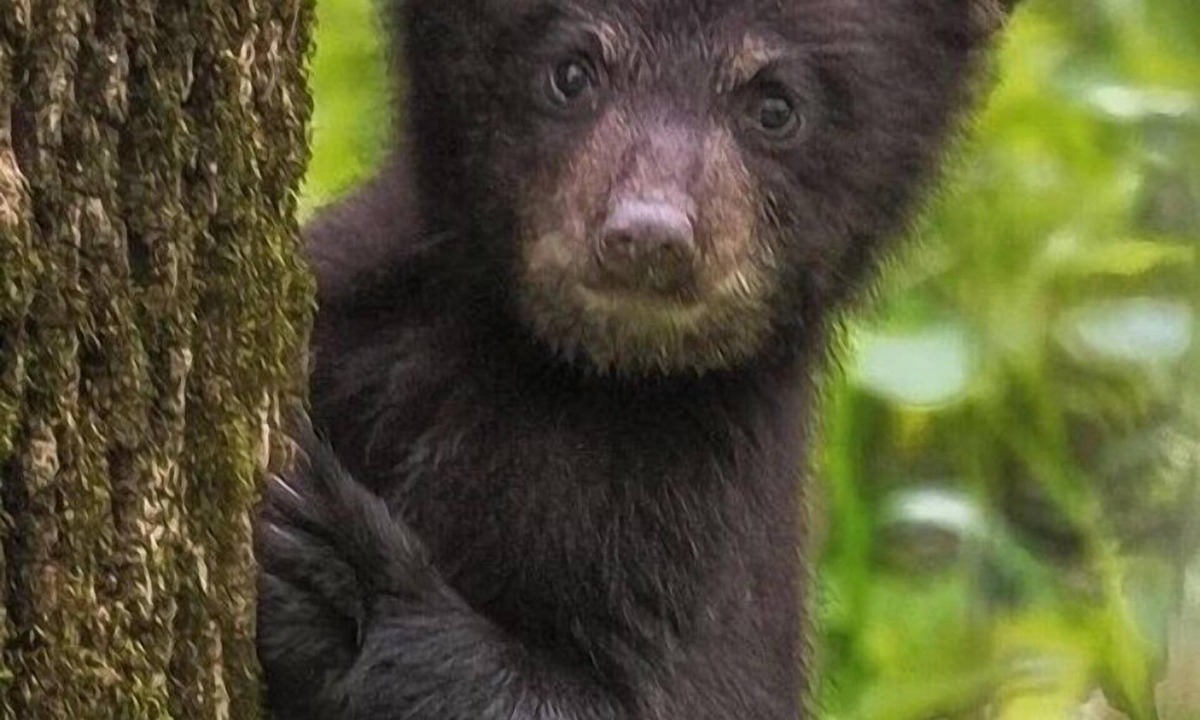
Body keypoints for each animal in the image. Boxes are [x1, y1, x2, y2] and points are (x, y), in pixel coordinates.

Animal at [255, 0, 1017, 718]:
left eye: (775, 106)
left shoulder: (701, 535)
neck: (575, 372)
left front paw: (340, 583)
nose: (649, 236)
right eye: (571, 71)